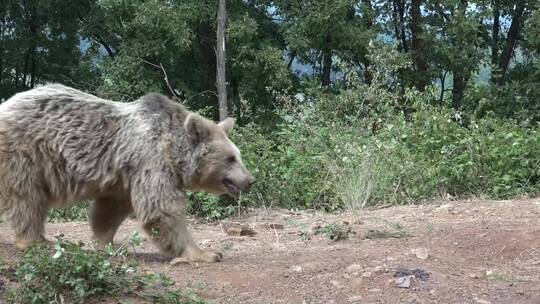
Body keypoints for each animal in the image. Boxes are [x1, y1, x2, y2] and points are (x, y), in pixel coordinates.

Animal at [0, 84, 254, 262]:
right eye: (230, 158)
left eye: (239, 155)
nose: (250, 180)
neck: (172, 151)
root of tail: (6, 104)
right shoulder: (151, 161)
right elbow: (161, 209)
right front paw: (205, 253)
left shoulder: (124, 177)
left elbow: (110, 210)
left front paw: (105, 243)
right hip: (26, 152)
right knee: (27, 197)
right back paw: (36, 240)